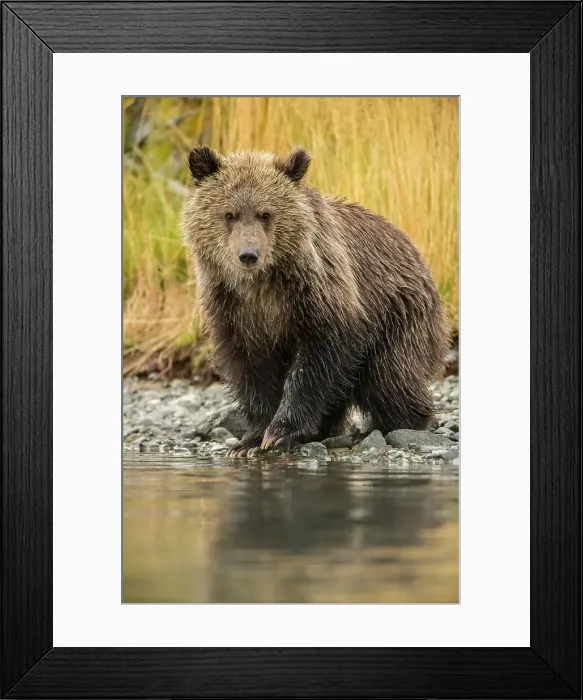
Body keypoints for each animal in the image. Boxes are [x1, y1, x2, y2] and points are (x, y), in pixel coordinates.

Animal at [181, 146, 450, 457]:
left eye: (265, 214)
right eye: (229, 214)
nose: (248, 254)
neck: (261, 284)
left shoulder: (319, 292)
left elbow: (316, 361)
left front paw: (280, 432)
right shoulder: (234, 309)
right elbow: (251, 369)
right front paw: (249, 440)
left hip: (400, 313)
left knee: (389, 377)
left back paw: (393, 425)